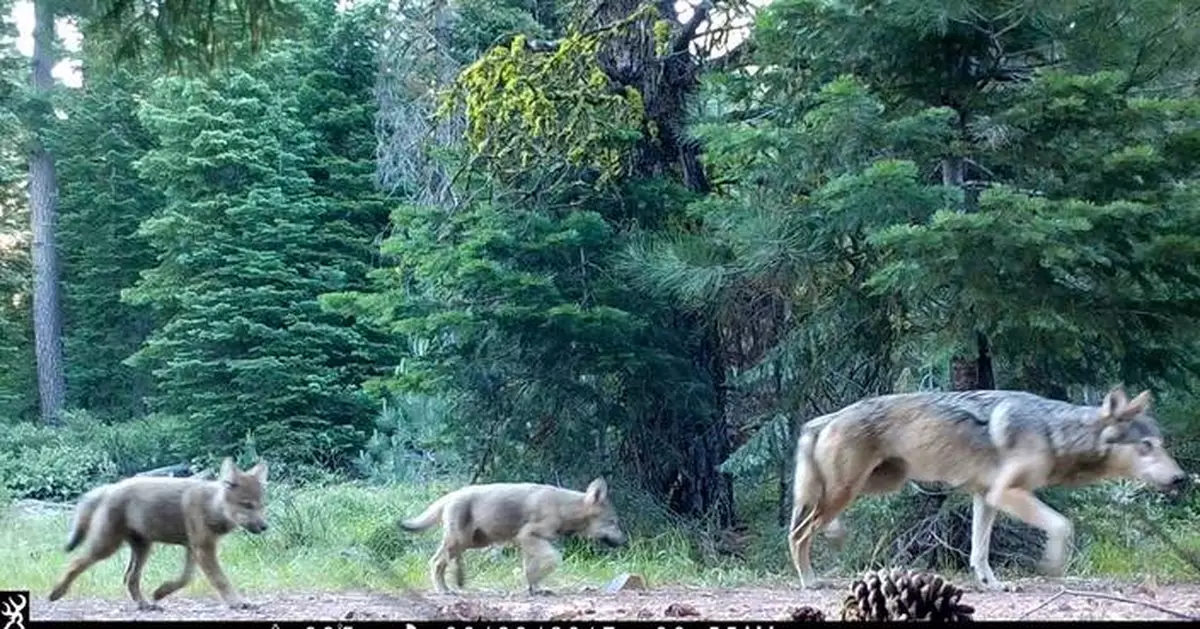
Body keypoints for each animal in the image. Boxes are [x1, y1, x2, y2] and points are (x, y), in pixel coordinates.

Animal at [47, 458, 269, 610]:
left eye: (261, 506)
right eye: (247, 505)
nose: (265, 526)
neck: (211, 506)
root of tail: (110, 488)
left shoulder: (193, 548)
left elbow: (185, 578)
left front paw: (161, 592)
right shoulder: (203, 549)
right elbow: (220, 580)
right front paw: (238, 602)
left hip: (143, 548)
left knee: (129, 578)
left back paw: (145, 605)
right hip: (106, 546)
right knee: (75, 563)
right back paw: (56, 592)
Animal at [400, 477, 628, 595]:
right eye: (613, 522)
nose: (625, 542)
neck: (564, 509)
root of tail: (450, 495)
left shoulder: (529, 543)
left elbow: (530, 568)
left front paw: (535, 588)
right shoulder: (528, 536)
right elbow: (553, 559)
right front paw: (535, 584)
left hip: (471, 542)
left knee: (449, 560)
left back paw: (458, 582)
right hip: (460, 541)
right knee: (436, 562)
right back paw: (444, 590)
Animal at [787, 385, 1187, 590]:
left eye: (1162, 444)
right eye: (1146, 446)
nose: (1181, 478)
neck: (1054, 432)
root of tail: (824, 419)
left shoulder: (986, 496)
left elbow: (979, 551)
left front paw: (991, 584)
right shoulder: (1005, 494)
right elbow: (1063, 524)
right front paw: (1053, 565)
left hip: (878, 484)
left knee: (815, 522)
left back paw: (834, 536)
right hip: (849, 489)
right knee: (799, 533)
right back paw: (810, 580)